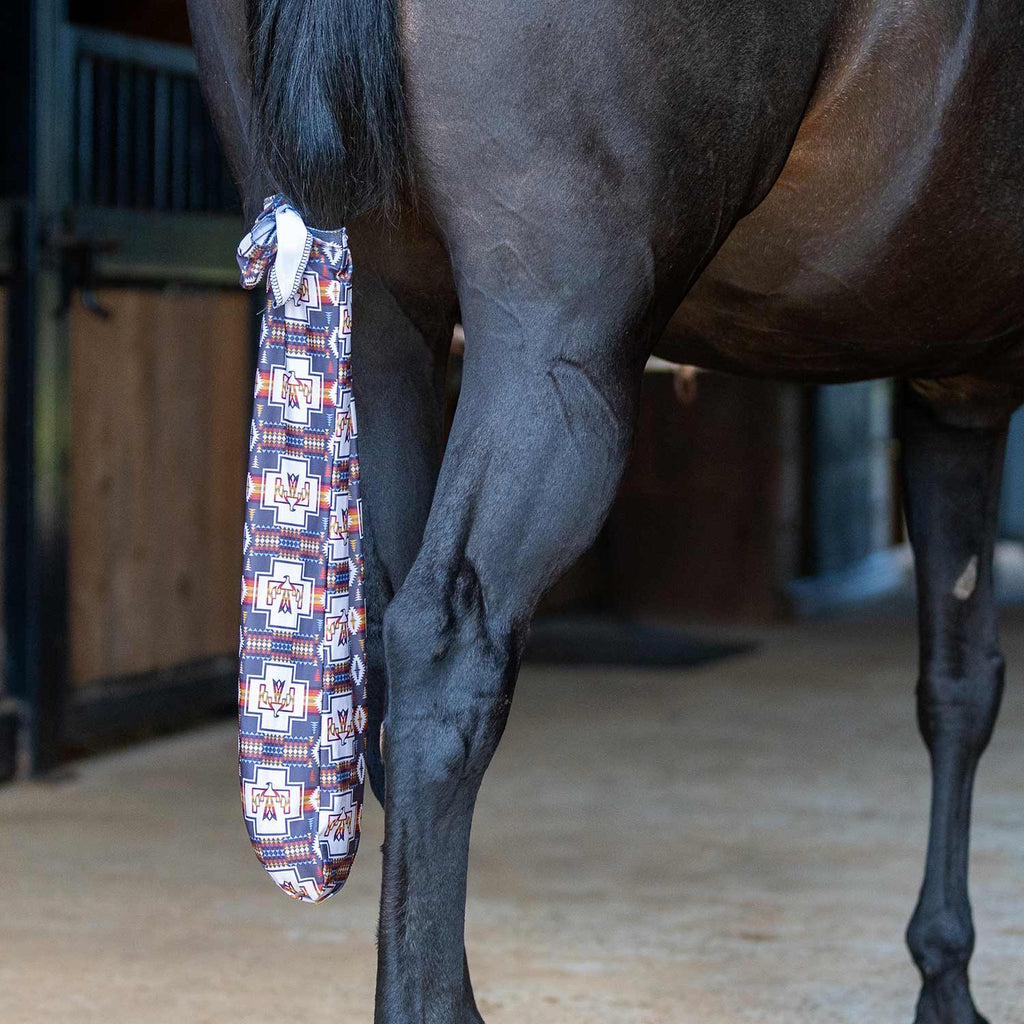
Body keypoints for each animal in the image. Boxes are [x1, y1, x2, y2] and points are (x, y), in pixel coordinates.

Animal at [186, 0, 1024, 1020]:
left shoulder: (957, 390)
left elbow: (958, 682)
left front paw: (944, 981)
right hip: (557, 343)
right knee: (447, 656)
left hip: (382, 310)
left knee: (385, 665)